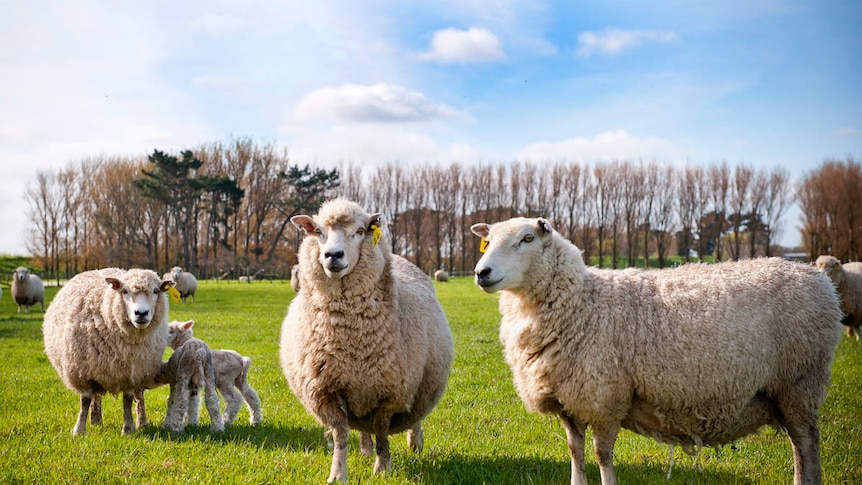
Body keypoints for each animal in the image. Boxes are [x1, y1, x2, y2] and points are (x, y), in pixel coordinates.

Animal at [42, 266, 176, 436]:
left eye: (156, 291)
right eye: (124, 291)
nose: (141, 313)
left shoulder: (131, 374)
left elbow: (128, 400)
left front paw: (128, 429)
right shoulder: (83, 371)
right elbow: (85, 401)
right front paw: (78, 430)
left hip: (141, 370)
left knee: (139, 396)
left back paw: (142, 422)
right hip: (96, 367)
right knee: (96, 395)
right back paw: (95, 420)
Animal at [284, 197, 460, 480]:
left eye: (359, 231)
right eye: (319, 232)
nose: (333, 255)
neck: (352, 338)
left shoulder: (390, 392)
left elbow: (382, 431)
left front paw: (383, 468)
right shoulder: (326, 391)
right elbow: (341, 434)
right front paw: (338, 474)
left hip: (416, 385)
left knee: (414, 418)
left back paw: (415, 443)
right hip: (358, 395)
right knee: (362, 427)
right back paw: (365, 450)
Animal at [472, 218, 844, 484]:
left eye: (527, 239)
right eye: (489, 241)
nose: (481, 272)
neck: (582, 301)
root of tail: (818, 279)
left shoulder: (606, 398)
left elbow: (602, 456)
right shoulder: (569, 402)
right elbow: (576, 454)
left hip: (799, 382)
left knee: (807, 447)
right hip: (786, 391)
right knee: (799, 448)